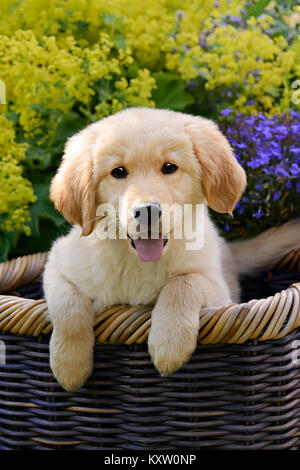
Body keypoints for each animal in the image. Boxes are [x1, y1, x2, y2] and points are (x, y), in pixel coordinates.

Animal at [42, 108, 298, 392]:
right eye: (118, 172)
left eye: (169, 167)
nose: (148, 211)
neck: (138, 264)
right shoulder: (56, 264)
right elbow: (68, 304)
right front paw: (69, 364)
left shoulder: (221, 295)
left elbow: (184, 283)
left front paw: (169, 344)